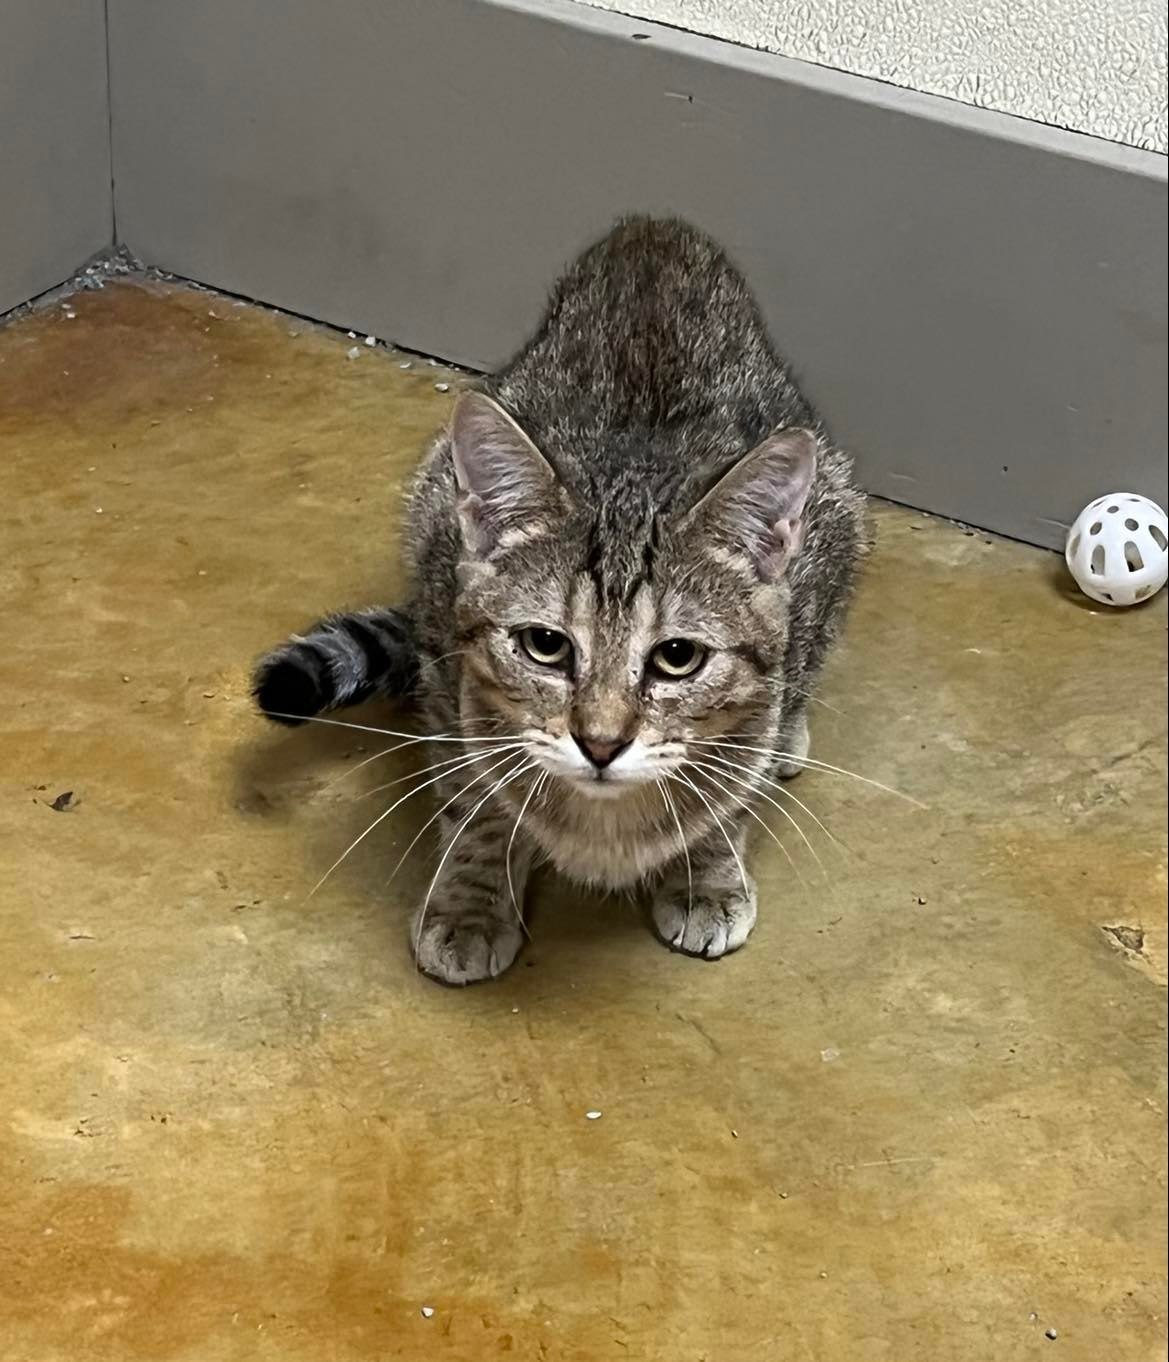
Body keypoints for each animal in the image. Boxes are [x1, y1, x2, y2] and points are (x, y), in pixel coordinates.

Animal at [260, 223, 871, 986]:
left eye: (677, 656)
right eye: (545, 645)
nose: (601, 743)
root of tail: (654, 233)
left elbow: (728, 794)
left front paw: (708, 874)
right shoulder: (447, 681)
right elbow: (476, 803)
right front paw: (470, 904)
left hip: (840, 516)